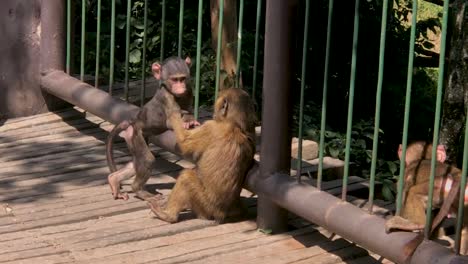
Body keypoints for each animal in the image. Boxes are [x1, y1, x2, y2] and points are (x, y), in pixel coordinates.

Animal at [106, 55, 199, 200]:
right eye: (174, 80)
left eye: (183, 79)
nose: (181, 88)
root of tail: (133, 122)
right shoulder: (167, 97)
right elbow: (171, 122)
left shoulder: (189, 90)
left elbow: (188, 110)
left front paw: (189, 120)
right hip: (134, 135)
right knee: (147, 160)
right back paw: (139, 190)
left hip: (134, 138)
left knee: (135, 163)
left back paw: (114, 179)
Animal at [148, 88, 256, 223]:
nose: (214, 113)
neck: (235, 123)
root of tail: (222, 214)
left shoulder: (211, 126)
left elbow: (185, 143)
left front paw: (173, 114)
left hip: (205, 207)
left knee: (186, 177)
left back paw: (168, 216)